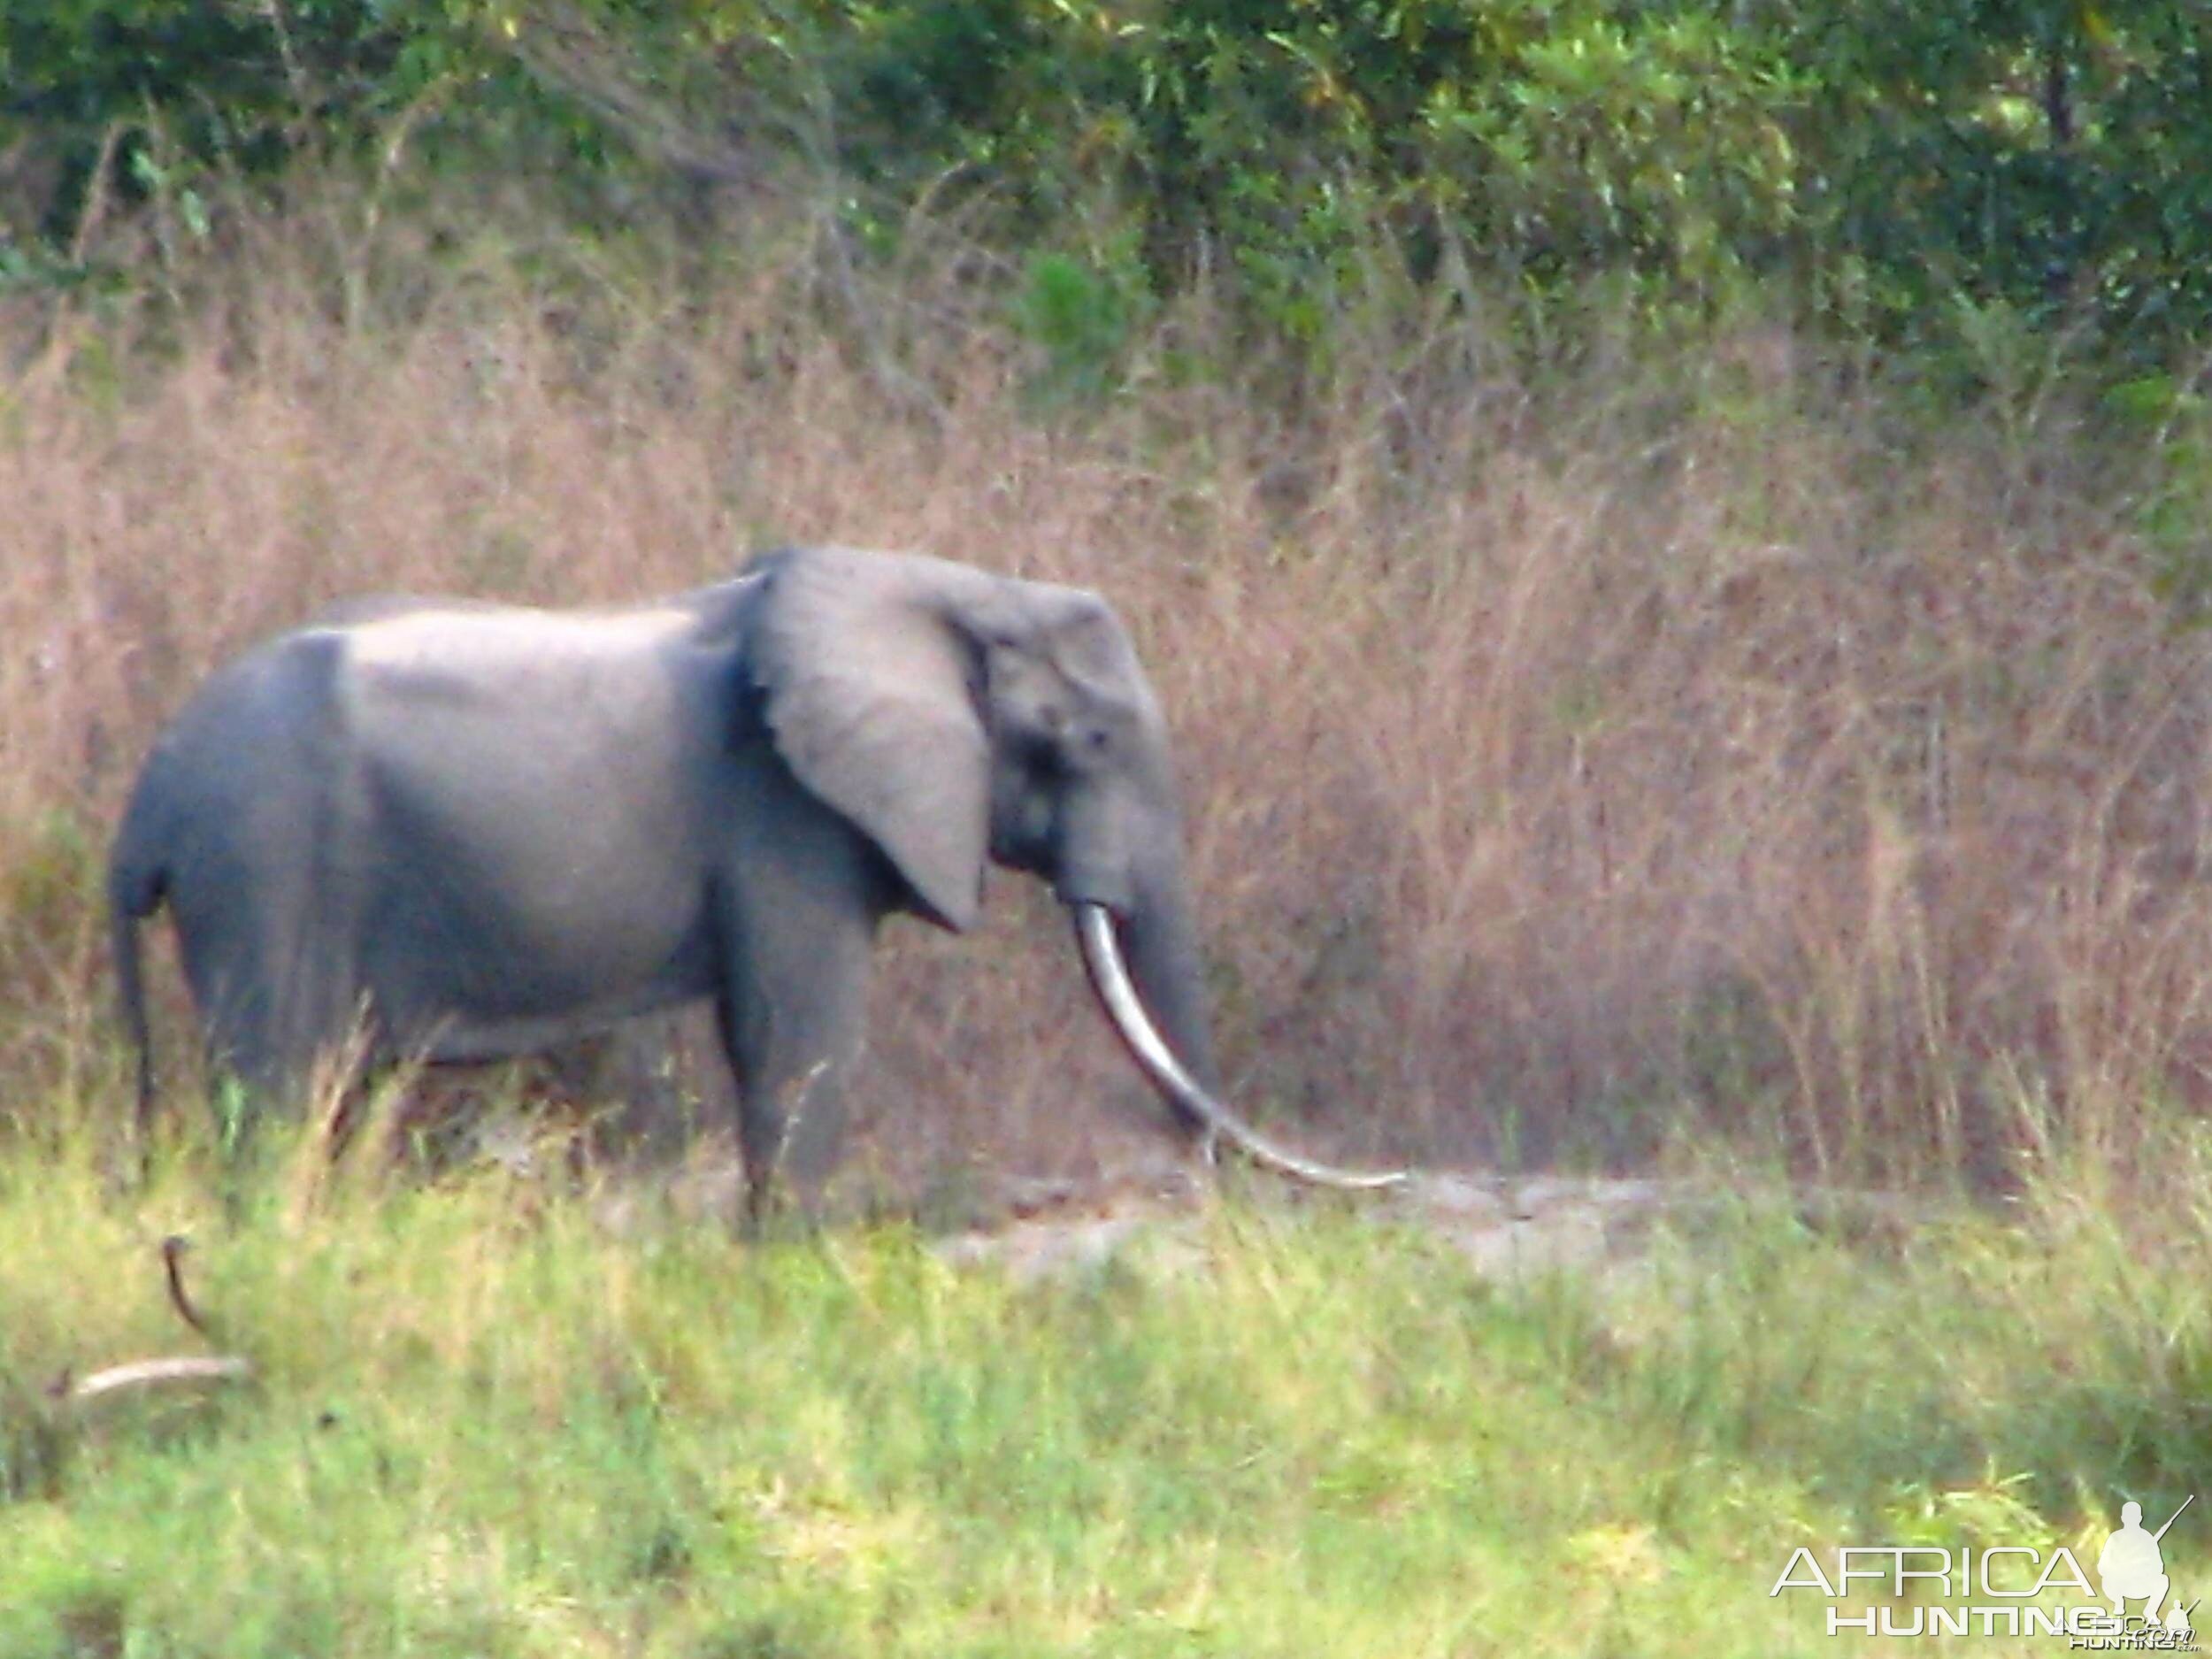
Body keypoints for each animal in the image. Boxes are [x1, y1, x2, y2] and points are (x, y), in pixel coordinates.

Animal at [107, 553, 1398, 1212]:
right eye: (1086, 742)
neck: (946, 587)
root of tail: (148, 797)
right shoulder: (788, 815)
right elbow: (797, 1042)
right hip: (265, 863)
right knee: (279, 1093)